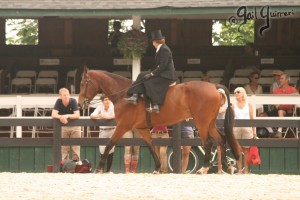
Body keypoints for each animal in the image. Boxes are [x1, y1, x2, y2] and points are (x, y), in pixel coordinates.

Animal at [78, 67, 240, 173]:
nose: (79, 103)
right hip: (210, 123)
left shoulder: (123, 126)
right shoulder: (142, 128)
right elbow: (150, 146)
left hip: (202, 122)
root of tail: (213, 86)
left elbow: (109, 144)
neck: (125, 94)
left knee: (208, 143)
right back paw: (227, 166)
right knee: (221, 139)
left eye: (83, 83)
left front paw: (99, 168)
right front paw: (157, 168)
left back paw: (204, 168)